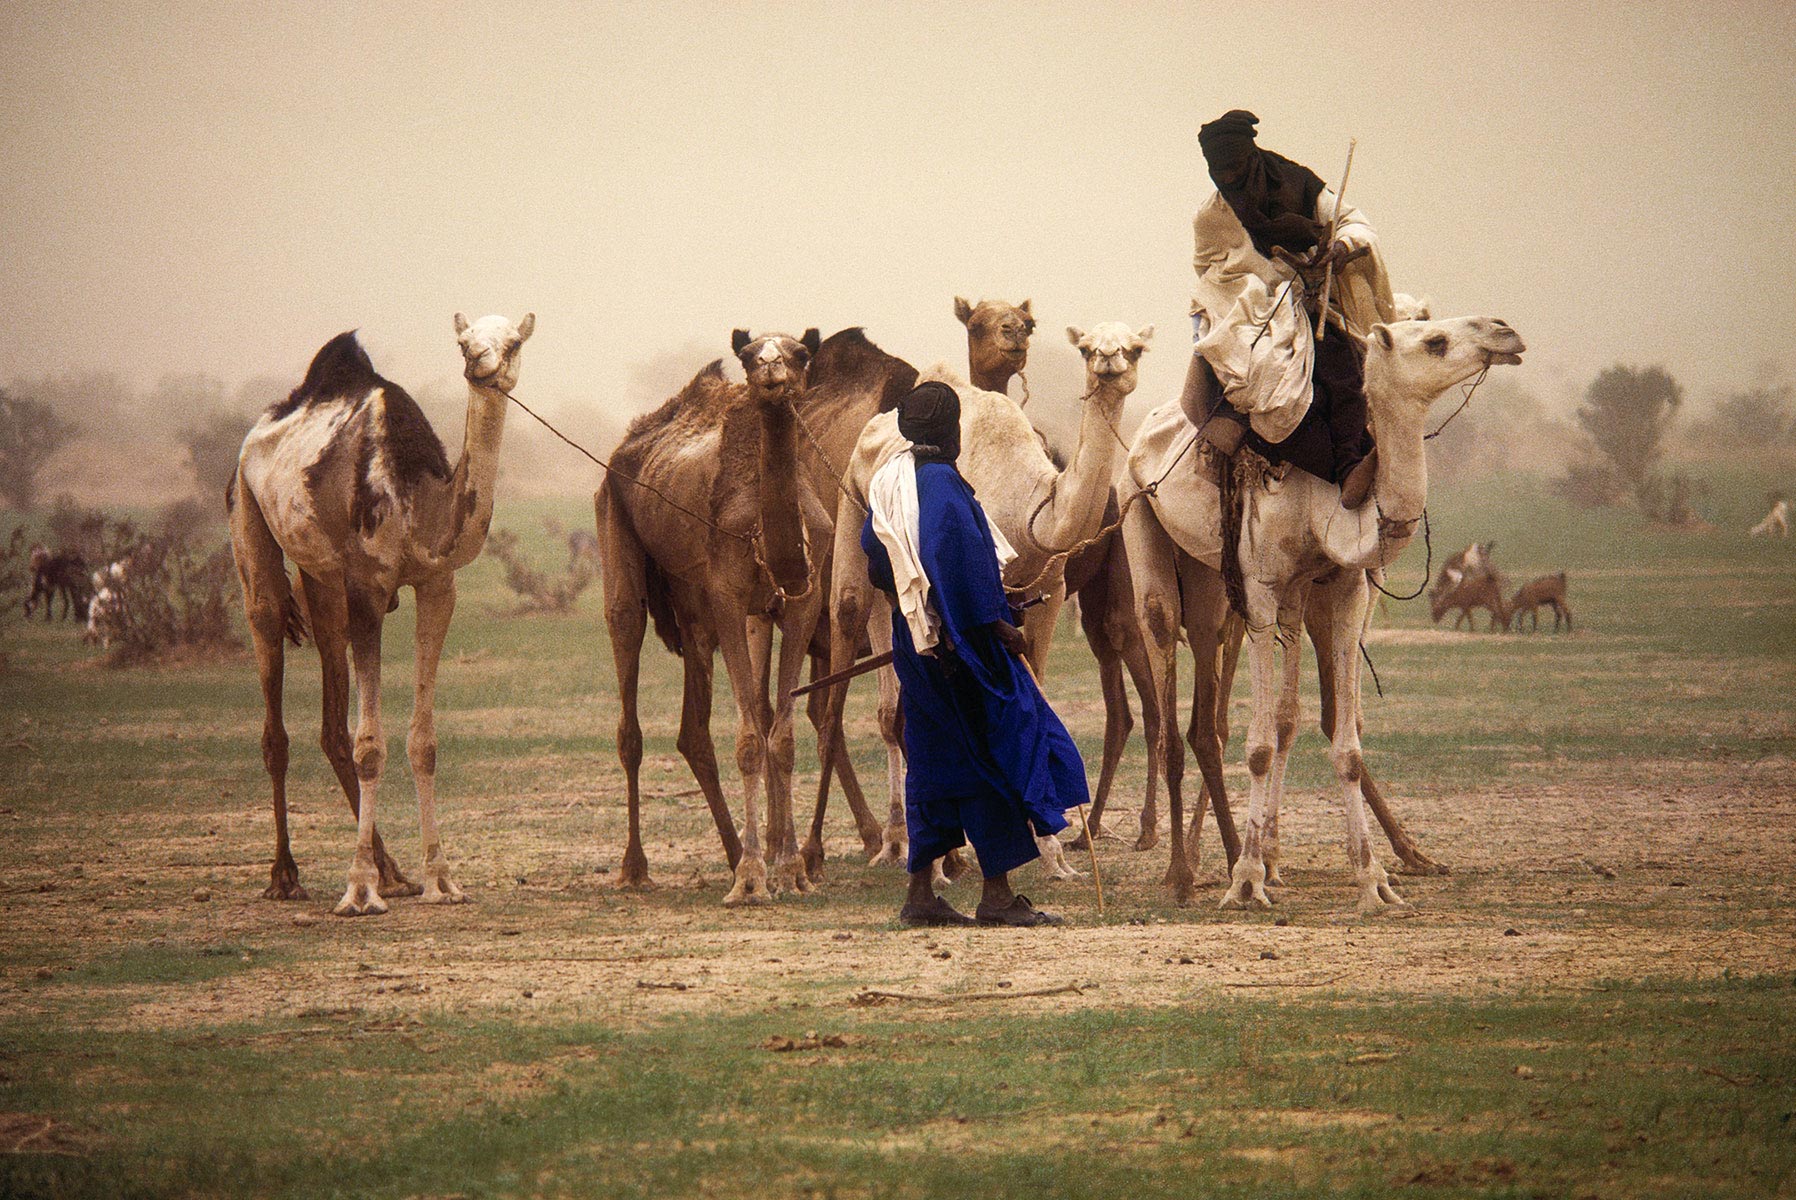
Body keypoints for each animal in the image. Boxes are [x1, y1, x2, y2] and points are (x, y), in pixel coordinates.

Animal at [228, 312, 531, 919]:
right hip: (250, 524)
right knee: (274, 703)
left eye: (512, 341)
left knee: (330, 724)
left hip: (322, 581)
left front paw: (440, 879)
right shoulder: (367, 587)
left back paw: (393, 872)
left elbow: (423, 742)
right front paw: (359, 890)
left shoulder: (438, 585)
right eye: (463, 341)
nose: (480, 362)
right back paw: (286, 875)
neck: (418, 504)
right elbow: (371, 745)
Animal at [596, 323, 833, 905]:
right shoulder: (727, 595)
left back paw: (733, 852)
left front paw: (789, 870)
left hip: (695, 611)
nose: (772, 371)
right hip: (617, 533)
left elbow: (780, 736)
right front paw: (752, 879)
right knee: (630, 705)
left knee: (697, 730)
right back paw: (636, 867)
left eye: (801, 353)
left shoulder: (800, 599)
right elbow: (749, 740)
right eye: (748, 356)